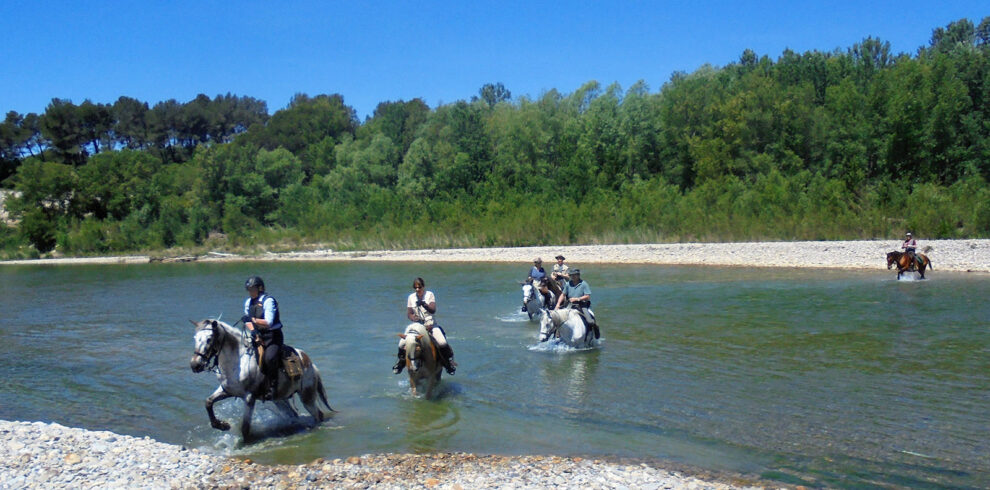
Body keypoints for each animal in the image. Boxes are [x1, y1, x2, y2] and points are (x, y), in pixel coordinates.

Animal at [189, 319, 334, 441]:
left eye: (209, 339)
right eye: (195, 338)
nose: (195, 365)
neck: (238, 360)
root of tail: (310, 364)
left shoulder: (249, 398)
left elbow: (245, 427)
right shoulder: (226, 390)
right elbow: (208, 402)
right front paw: (222, 425)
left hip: (307, 396)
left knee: (318, 414)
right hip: (280, 399)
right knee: (293, 414)